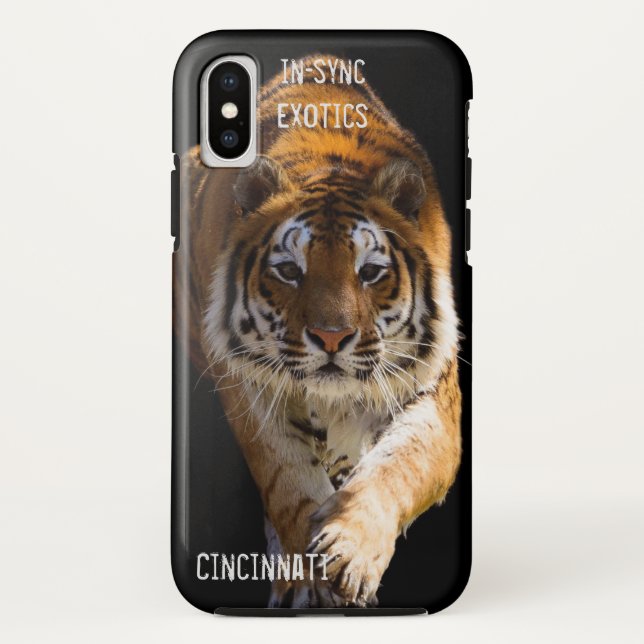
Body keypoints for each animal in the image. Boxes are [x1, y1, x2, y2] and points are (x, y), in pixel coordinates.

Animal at [174, 56, 462, 608]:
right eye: (290, 271)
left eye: (369, 272)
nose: (331, 338)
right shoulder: (249, 385)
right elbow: (286, 478)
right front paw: (309, 579)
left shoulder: (432, 389)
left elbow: (401, 465)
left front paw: (349, 553)